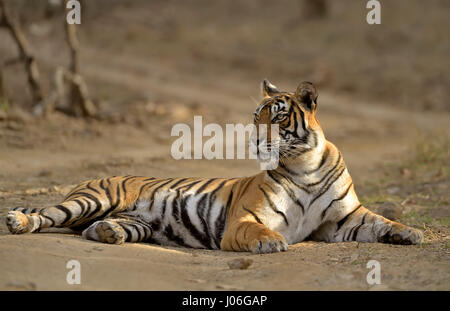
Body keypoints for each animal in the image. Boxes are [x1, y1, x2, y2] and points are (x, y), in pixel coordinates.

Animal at [5, 80, 424, 254]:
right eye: (256, 116)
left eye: (277, 117)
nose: (254, 139)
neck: (305, 166)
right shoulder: (246, 218)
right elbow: (258, 230)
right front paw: (273, 242)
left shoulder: (342, 219)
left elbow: (382, 222)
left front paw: (412, 233)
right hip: (92, 199)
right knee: (48, 214)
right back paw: (18, 222)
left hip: (137, 223)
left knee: (94, 229)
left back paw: (109, 233)